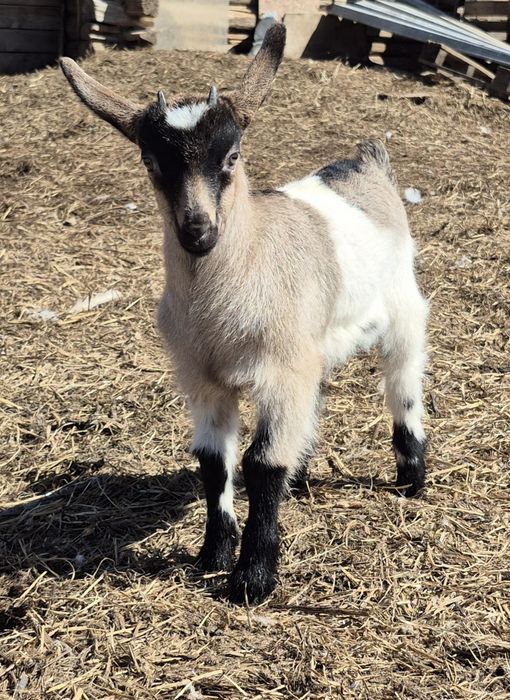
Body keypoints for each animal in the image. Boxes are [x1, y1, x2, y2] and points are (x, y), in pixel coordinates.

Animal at [59, 23, 428, 604]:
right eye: (150, 162)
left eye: (232, 155)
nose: (198, 230)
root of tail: (366, 162)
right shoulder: (202, 378)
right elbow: (215, 464)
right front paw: (211, 556)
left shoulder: (280, 370)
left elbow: (261, 464)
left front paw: (254, 577)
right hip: (314, 344)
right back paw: (306, 473)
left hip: (401, 303)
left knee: (403, 378)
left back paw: (412, 476)